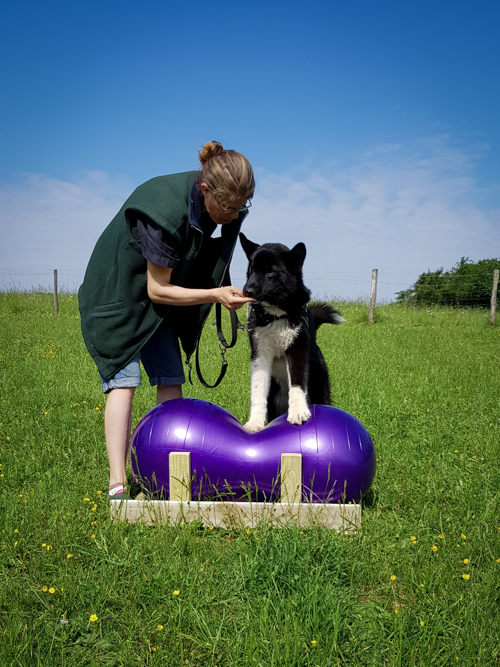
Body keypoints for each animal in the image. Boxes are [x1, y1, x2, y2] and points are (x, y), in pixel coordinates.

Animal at [239, 235, 344, 434]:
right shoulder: (259, 354)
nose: (246, 290)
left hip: (319, 386)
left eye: (271, 272)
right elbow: (257, 389)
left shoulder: (297, 348)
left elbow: (297, 382)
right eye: (251, 270)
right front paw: (254, 422)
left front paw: (297, 412)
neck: (276, 315)